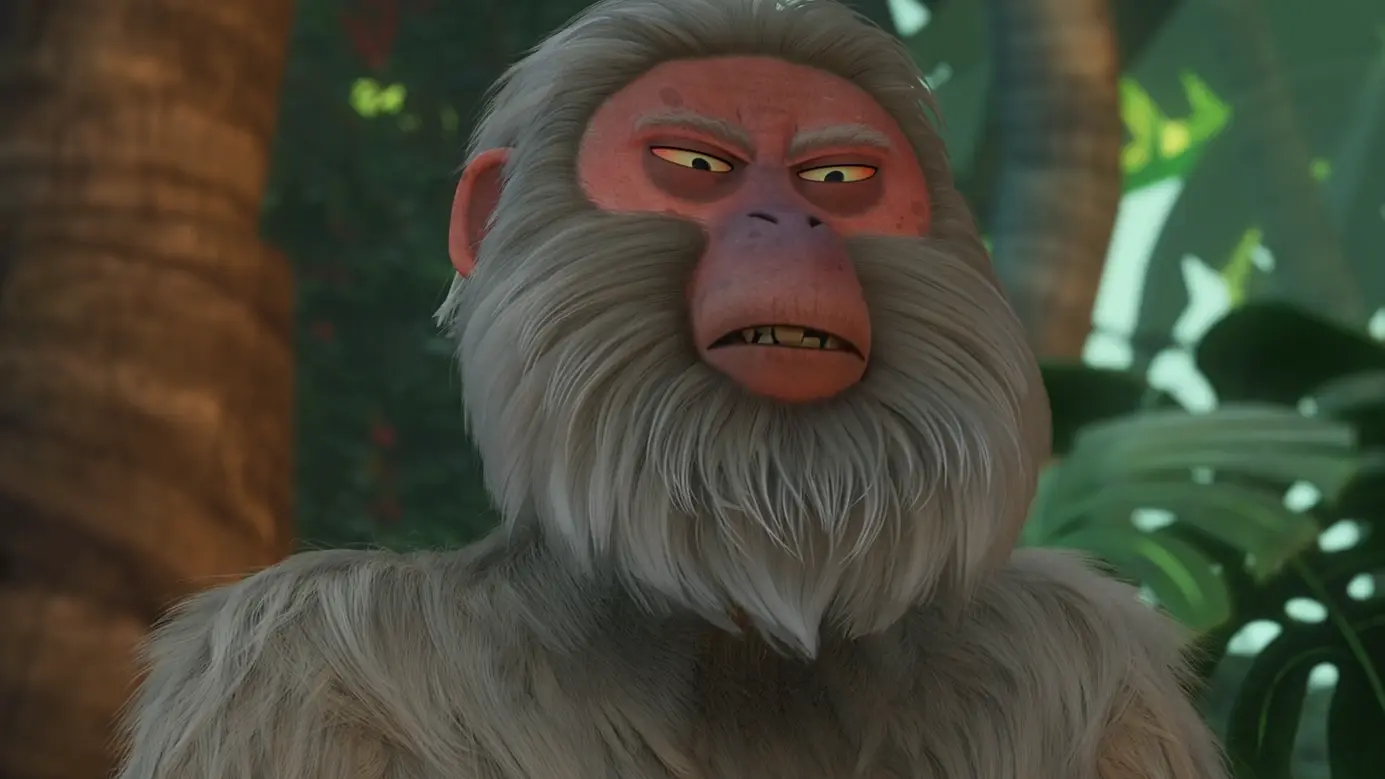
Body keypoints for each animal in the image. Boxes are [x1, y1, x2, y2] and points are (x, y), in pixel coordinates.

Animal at [115, 1, 1230, 777]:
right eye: (696, 163)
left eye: (838, 180)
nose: (794, 225)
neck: (735, 641)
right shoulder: (281, 656)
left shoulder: (1086, 653)